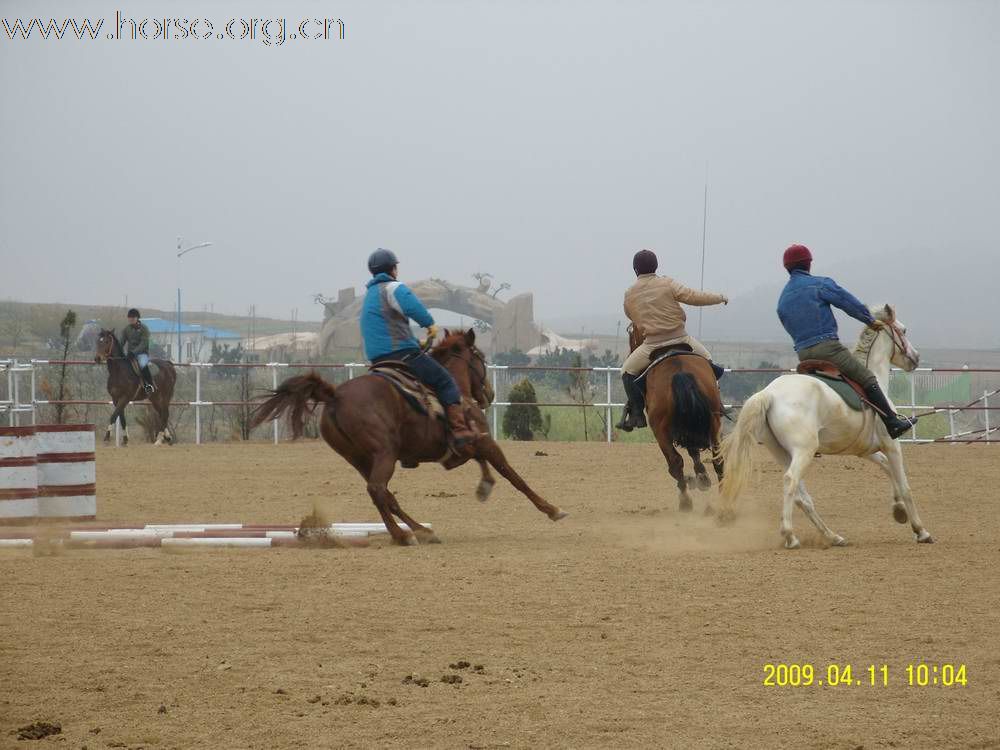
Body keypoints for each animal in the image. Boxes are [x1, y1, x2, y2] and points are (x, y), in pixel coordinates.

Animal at [247, 328, 568, 548]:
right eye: (480, 357)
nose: (488, 393)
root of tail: (335, 394)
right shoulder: (484, 440)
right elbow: (513, 475)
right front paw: (552, 509)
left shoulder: (469, 445)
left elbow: (486, 465)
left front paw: (484, 486)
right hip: (384, 454)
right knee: (378, 490)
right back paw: (404, 535)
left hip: (359, 459)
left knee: (386, 496)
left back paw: (420, 531)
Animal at [628, 326, 724, 516]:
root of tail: (680, 372)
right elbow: (694, 452)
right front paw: (702, 477)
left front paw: (698, 479)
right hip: (714, 423)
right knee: (718, 459)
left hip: (660, 432)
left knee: (675, 463)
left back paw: (685, 502)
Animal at [720, 302, 928, 548]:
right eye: (903, 330)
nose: (915, 357)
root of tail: (769, 393)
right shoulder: (892, 444)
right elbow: (905, 486)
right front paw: (920, 530)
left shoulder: (865, 450)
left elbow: (886, 467)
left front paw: (898, 510)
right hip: (804, 451)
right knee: (790, 482)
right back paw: (790, 535)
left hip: (783, 453)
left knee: (802, 497)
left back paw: (832, 536)